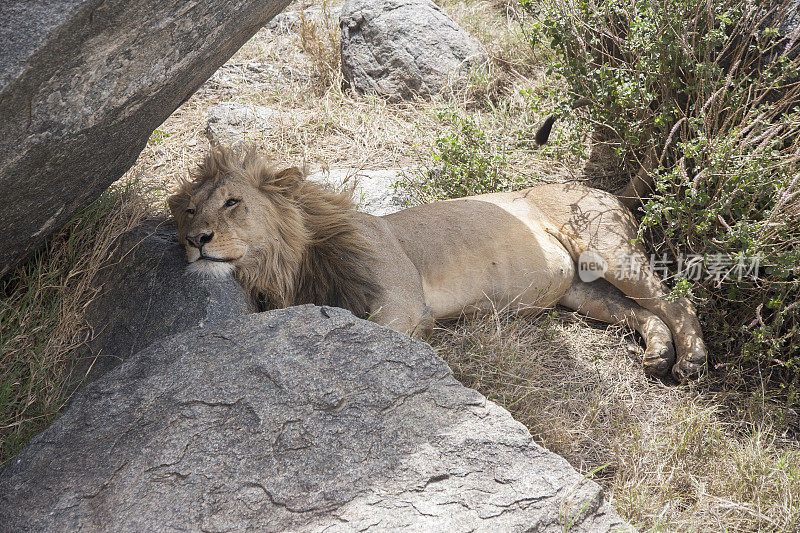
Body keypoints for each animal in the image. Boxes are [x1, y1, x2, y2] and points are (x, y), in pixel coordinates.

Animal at [170, 144, 708, 378]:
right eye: (190, 209)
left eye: (232, 203)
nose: (195, 239)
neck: (292, 261)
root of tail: (601, 187)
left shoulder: (404, 303)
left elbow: (382, 333)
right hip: (582, 290)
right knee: (639, 313)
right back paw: (658, 355)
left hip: (609, 250)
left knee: (674, 300)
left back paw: (693, 360)